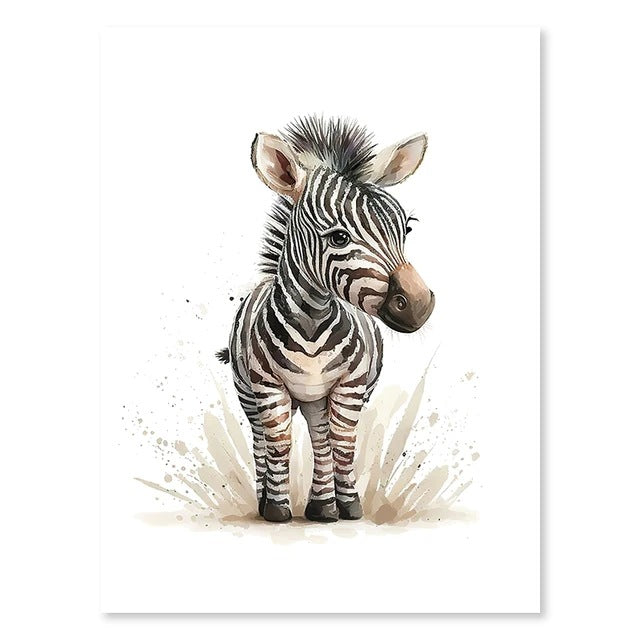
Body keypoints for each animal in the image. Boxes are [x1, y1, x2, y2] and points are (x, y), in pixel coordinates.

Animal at [216, 115, 435, 523]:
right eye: (338, 238)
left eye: (407, 228)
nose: (418, 304)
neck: (312, 320)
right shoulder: (267, 385)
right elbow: (279, 442)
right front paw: (277, 508)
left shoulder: (351, 385)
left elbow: (342, 443)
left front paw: (345, 504)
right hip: (247, 392)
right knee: (261, 441)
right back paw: (265, 499)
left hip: (318, 398)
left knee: (321, 438)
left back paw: (324, 504)